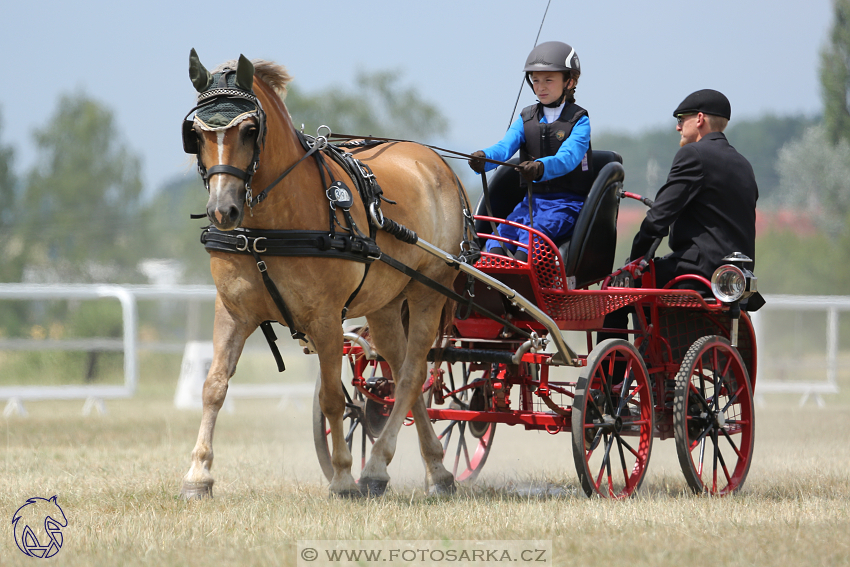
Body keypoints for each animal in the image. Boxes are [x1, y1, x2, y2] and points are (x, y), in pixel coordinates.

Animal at [181, 51, 470, 500]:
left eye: (249, 130)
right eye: (194, 133)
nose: (222, 210)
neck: (270, 229)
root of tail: (437, 163)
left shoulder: (327, 318)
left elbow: (333, 398)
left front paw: (342, 476)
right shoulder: (233, 312)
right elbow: (213, 387)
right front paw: (199, 474)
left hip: (428, 291)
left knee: (411, 375)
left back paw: (376, 467)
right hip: (385, 304)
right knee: (401, 366)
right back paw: (429, 469)